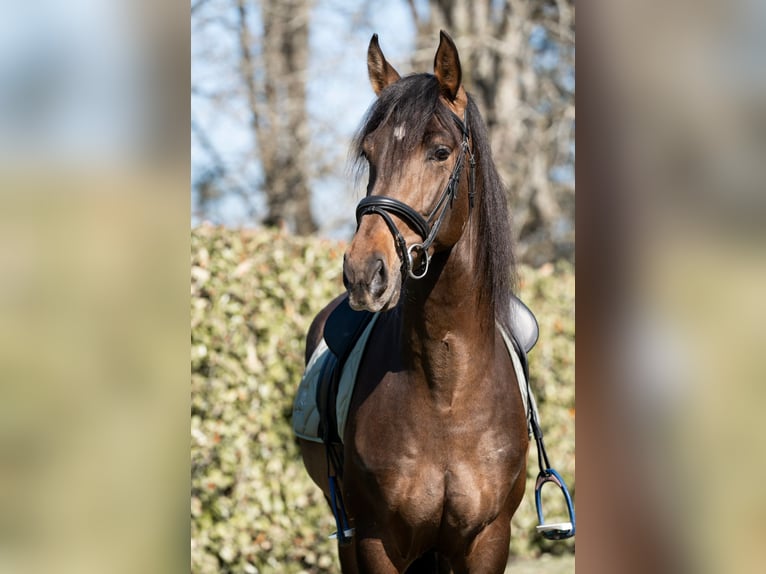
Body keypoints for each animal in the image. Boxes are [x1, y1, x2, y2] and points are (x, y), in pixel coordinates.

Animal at [297, 31, 528, 573]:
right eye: (370, 153)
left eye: (440, 151)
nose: (364, 272)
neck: (448, 395)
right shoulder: (375, 539)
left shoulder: (488, 540)